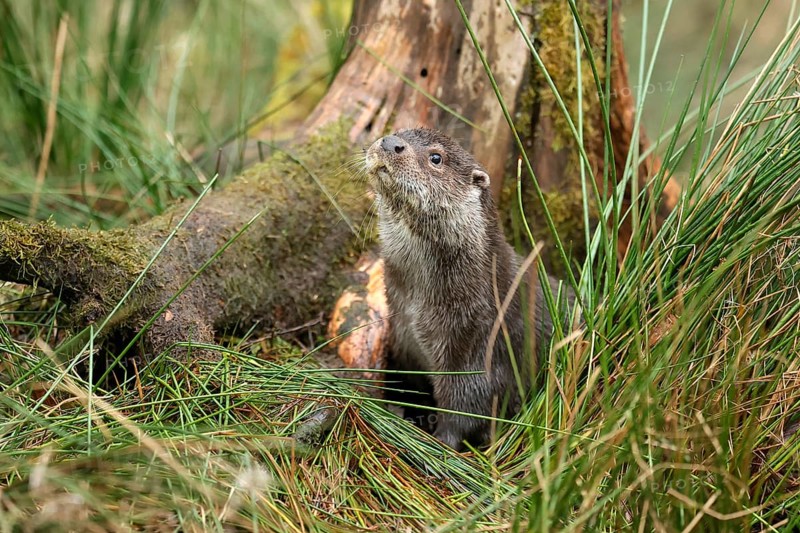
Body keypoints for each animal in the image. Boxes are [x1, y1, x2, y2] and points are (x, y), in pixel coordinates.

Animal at [365, 128, 574, 451]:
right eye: (397, 132)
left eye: (436, 158)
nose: (391, 142)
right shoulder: (403, 340)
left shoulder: (479, 344)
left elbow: (467, 407)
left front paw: (440, 443)